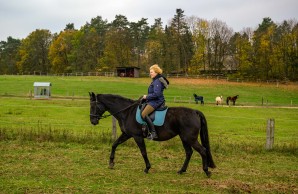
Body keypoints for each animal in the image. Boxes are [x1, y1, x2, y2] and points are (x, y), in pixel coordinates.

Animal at [89, 93, 217, 177]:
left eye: (93, 106)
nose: (93, 121)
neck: (127, 112)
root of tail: (195, 111)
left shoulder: (137, 136)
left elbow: (143, 152)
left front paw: (147, 168)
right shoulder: (127, 134)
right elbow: (114, 145)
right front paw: (111, 163)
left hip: (190, 138)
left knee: (203, 151)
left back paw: (206, 171)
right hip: (184, 138)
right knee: (189, 152)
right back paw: (181, 170)